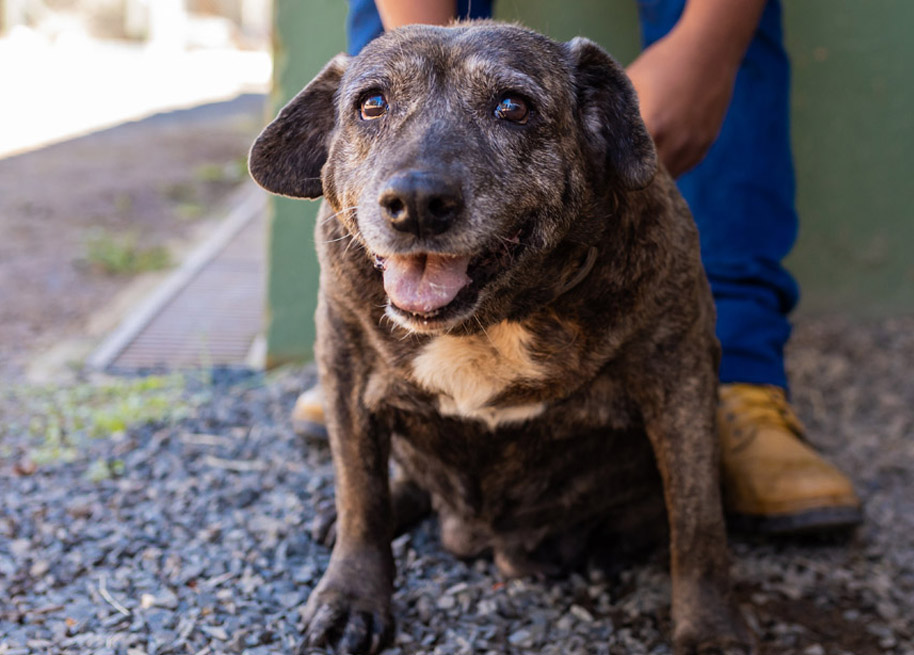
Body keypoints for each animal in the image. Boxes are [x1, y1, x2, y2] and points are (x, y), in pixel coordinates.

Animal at [249, 21, 753, 655]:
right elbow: (361, 494)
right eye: (371, 104)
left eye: (513, 107)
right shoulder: (345, 366)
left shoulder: (679, 382)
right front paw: (353, 596)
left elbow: (697, 522)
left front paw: (709, 628)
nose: (416, 202)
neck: (490, 318)